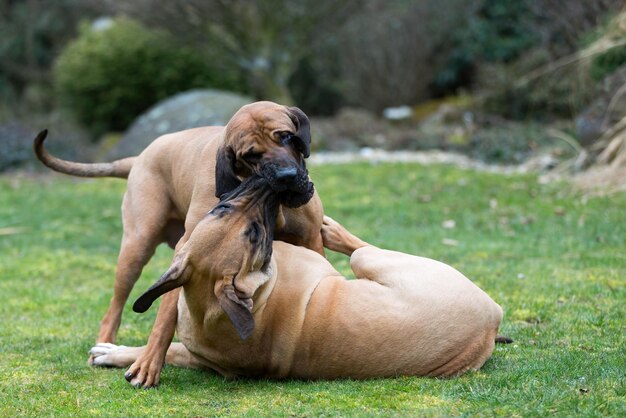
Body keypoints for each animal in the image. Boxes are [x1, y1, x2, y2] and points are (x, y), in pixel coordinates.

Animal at [34, 101, 324, 370]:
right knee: (114, 308)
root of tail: (139, 157)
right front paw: (149, 362)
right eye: (251, 155)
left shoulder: (311, 240)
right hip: (135, 249)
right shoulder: (189, 252)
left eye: (286, 136)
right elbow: (165, 315)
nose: (286, 177)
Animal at [90, 175, 504, 386]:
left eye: (223, 209)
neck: (209, 306)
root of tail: (492, 320)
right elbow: (169, 349)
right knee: (360, 247)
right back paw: (333, 231)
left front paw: (117, 353)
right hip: (371, 259)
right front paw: (117, 353)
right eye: (254, 233)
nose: (265, 186)